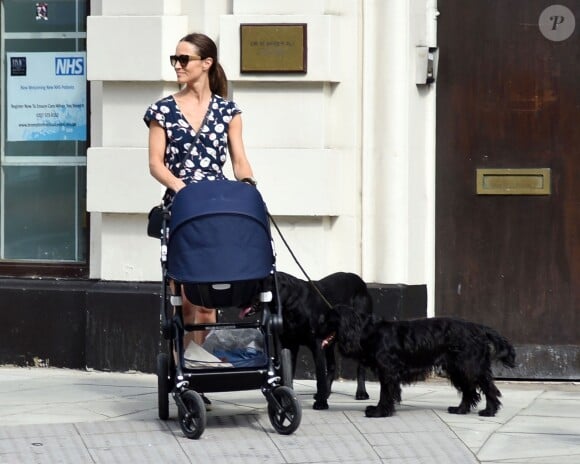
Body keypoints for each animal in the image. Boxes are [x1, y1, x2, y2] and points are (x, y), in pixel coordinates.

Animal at [276, 272, 374, 410]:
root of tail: (360, 281)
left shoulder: (317, 345)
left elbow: (320, 376)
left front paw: (321, 403)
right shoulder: (289, 344)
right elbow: (287, 375)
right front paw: (285, 401)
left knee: (360, 366)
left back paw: (361, 392)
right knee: (332, 366)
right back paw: (326, 392)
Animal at [322, 306, 516, 418]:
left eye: (327, 318)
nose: (315, 329)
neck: (368, 331)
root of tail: (479, 328)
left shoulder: (388, 371)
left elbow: (386, 393)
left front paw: (379, 412)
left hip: (470, 366)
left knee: (488, 388)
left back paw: (489, 411)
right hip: (457, 368)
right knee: (470, 391)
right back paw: (460, 409)